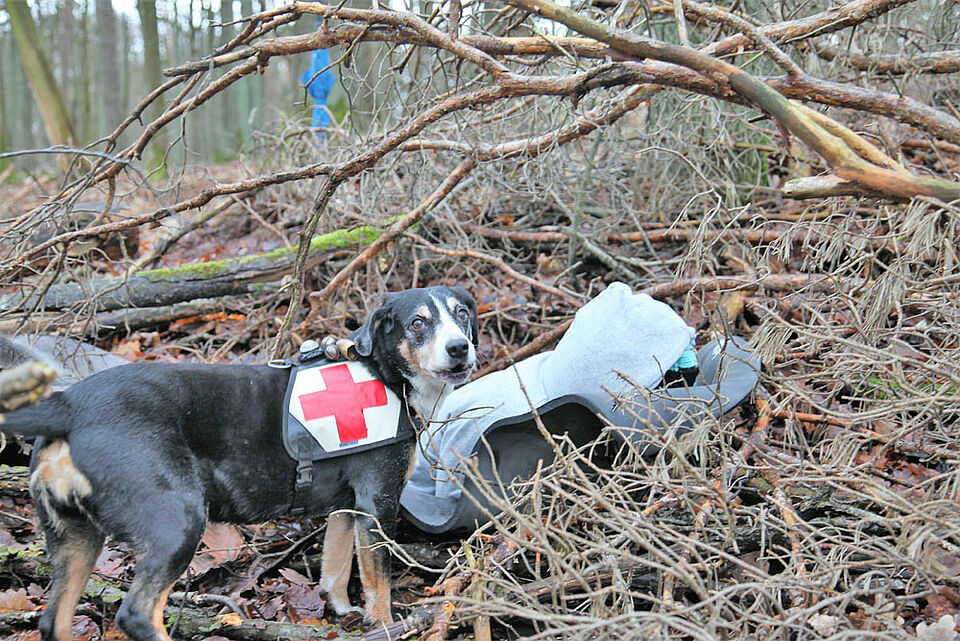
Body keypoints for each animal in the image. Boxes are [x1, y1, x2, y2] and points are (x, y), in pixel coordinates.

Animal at [0, 286, 480, 640]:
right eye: (417, 323)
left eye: (461, 314)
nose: (460, 348)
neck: (382, 370)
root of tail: (69, 407)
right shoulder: (378, 503)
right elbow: (378, 584)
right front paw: (385, 627)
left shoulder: (347, 507)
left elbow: (337, 566)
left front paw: (342, 610)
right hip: (177, 523)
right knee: (136, 614)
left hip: (75, 540)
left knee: (54, 620)